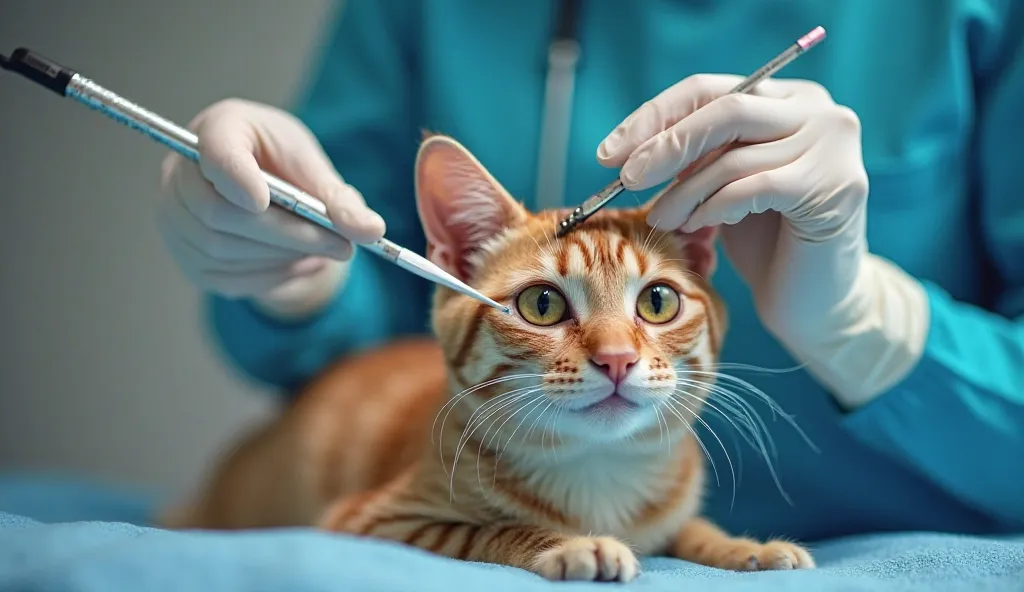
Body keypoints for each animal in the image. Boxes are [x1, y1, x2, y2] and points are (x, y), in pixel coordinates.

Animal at [161, 133, 815, 581]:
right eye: (542, 305)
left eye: (657, 302)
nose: (617, 359)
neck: (597, 471)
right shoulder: (370, 522)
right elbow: (488, 531)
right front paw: (570, 543)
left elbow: (689, 527)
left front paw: (744, 546)